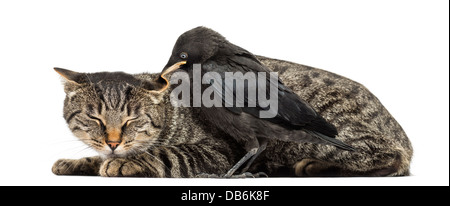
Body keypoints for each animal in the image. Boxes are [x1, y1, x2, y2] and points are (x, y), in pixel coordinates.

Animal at [51, 56, 412, 177]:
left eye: (131, 120)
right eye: (95, 119)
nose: (113, 142)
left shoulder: (219, 150)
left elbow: (168, 153)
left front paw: (125, 162)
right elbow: (96, 158)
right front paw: (77, 163)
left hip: (318, 138)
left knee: (391, 158)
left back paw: (313, 166)